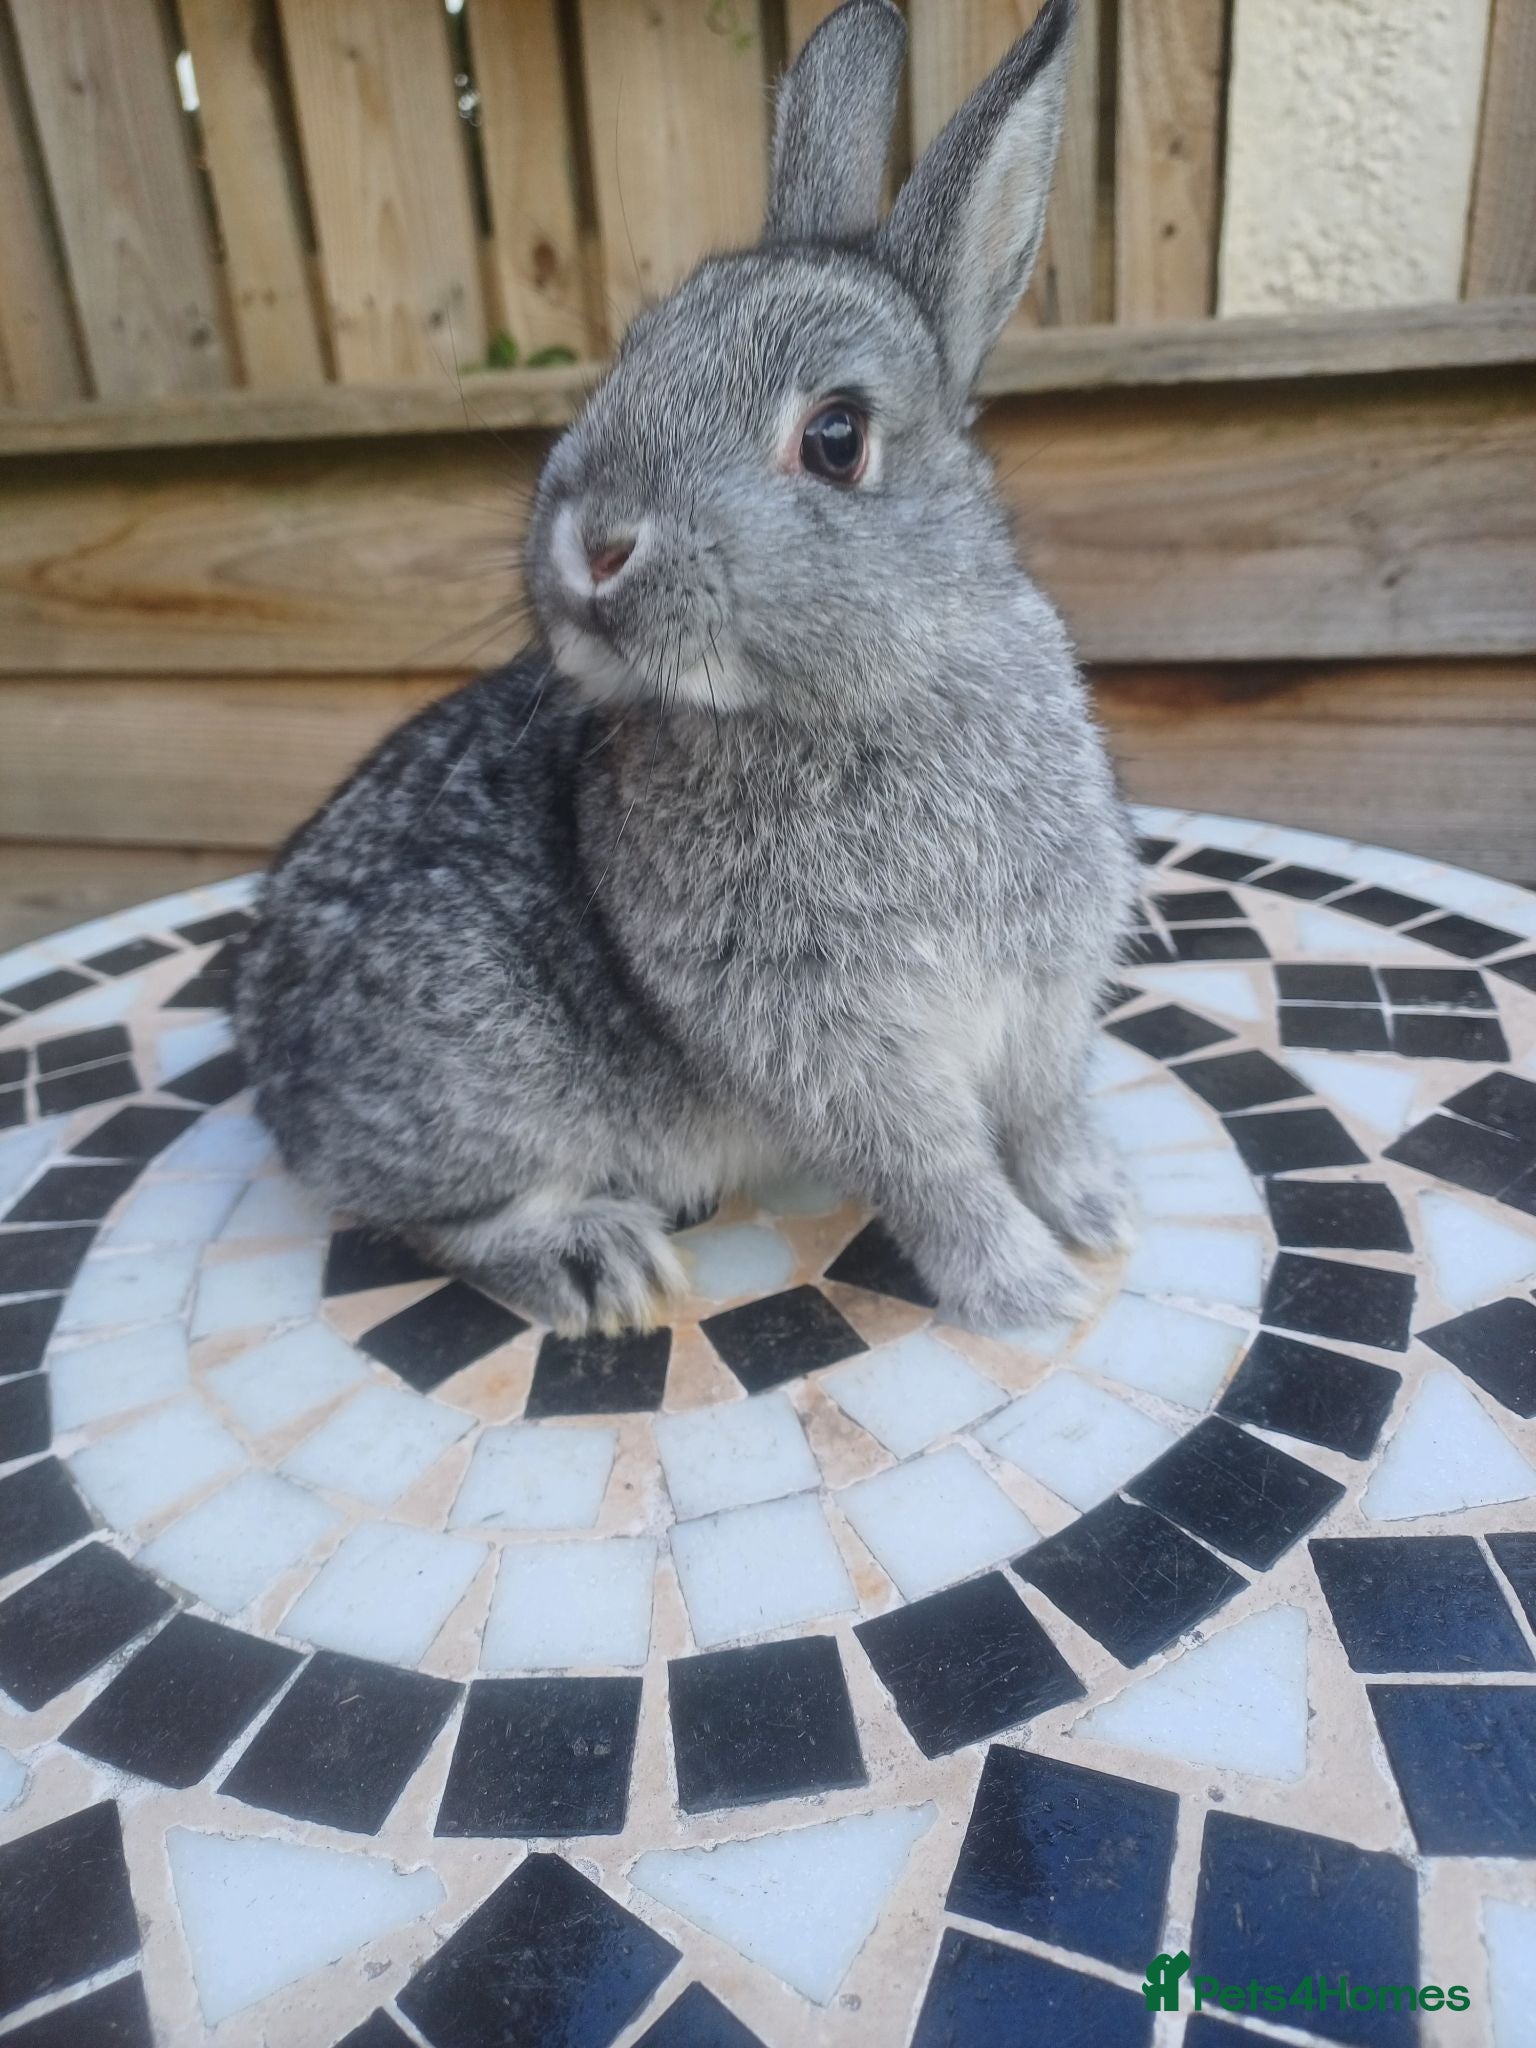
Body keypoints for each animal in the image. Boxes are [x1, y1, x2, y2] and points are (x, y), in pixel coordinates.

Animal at [235, 0, 1138, 1340]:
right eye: (633, 356)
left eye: (836, 437)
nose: (595, 541)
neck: (870, 691)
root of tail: (268, 1049)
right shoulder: (836, 1041)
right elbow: (938, 1168)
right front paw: (1029, 1292)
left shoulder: (1041, 1001)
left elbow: (1044, 1115)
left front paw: (1098, 1213)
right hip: (486, 1072)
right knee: (426, 1213)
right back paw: (594, 1263)